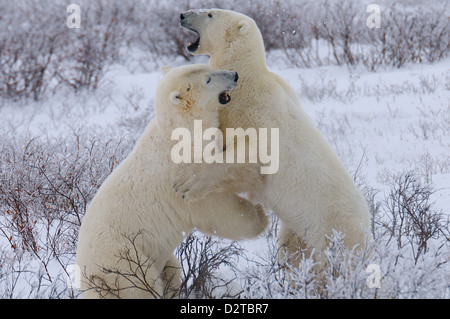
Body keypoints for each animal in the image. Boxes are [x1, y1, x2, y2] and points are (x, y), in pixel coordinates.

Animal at [74, 63, 268, 298]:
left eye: (209, 67)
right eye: (208, 79)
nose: (235, 75)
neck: (179, 132)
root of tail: (88, 278)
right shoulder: (181, 174)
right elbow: (212, 207)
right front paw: (259, 216)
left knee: (171, 268)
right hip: (123, 260)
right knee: (143, 286)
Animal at [178, 8, 370, 272]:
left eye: (209, 14)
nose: (182, 15)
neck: (247, 78)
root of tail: (367, 230)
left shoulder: (259, 115)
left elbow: (247, 157)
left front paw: (187, 184)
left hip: (335, 230)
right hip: (299, 228)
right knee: (292, 250)